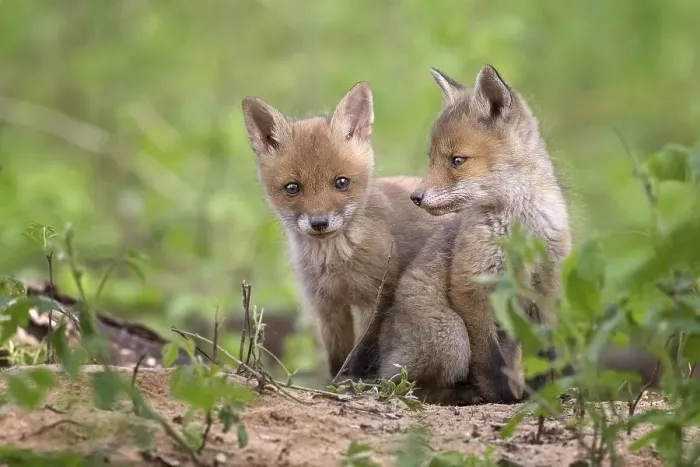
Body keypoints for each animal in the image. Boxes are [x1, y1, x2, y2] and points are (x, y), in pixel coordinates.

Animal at [241, 82, 453, 380]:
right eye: (293, 188)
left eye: (341, 183)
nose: (319, 223)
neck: (334, 264)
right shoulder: (326, 306)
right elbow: (337, 358)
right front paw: (336, 384)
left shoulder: (375, 300)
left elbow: (360, 354)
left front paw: (355, 382)